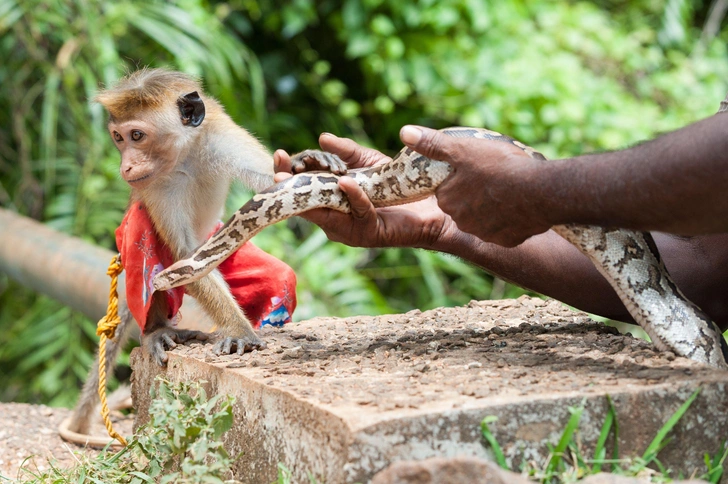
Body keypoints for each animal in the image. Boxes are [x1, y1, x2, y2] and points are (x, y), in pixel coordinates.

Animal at [64, 70, 344, 436]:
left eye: (136, 135)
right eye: (118, 138)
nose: (126, 167)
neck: (184, 152)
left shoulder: (220, 134)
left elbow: (270, 177)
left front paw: (304, 161)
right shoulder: (156, 185)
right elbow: (185, 254)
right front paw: (239, 331)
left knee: (277, 279)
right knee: (143, 236)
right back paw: (158, 329)